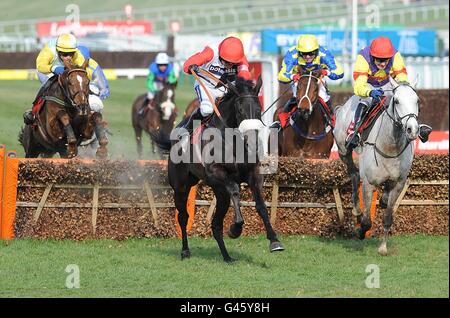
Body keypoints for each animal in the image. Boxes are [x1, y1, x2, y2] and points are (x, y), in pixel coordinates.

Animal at [151, 76, 284, 262]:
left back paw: (227, 256)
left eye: (259, 109)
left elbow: (261, 206)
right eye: (240, 110)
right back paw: (185, 251)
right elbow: (234, 189)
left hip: (219, 193)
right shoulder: (216, 173)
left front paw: (274, 241)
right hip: (181, 187)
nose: (251, 141)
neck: (232, 141)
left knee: (216, 224)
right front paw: (235, 228)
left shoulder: (253, 174)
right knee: (183, 217)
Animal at [332, 77, 420, 256]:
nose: (412, 129)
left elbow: (387, 216)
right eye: (397, 101)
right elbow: (367, 221)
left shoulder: (398, 183)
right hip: (343, 151)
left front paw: (383, 247)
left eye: (417, 100)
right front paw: (360, 231)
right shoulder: (369, 183)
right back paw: (356, 209)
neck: (390, 146)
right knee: (354, 175)